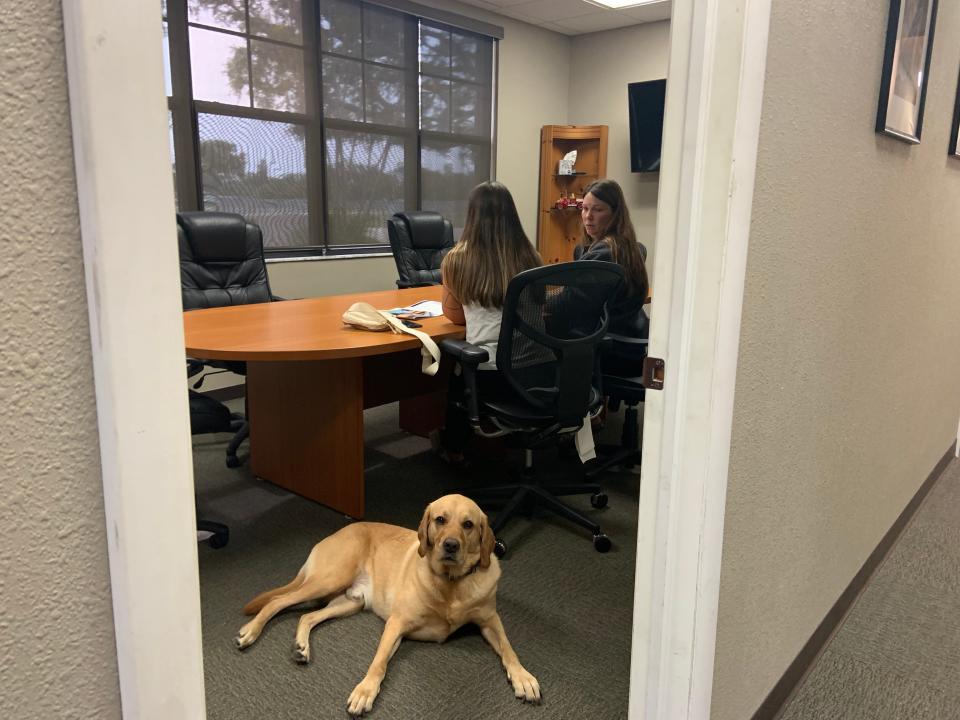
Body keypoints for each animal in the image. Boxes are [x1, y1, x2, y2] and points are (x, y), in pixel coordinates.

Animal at [235, 492, 540, 716]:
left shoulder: (490, 620)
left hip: (349, 602)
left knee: (306, 617)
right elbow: (379, 662)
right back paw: (250, 631)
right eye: (440, 519)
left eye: (468, 524)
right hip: (329, 578)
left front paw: (523, 677)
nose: (451, 545)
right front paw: (364, 691)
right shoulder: (397, 624)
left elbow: (509, 649)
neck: (451, 583)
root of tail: (338, 532)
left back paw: (301, 646)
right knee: (278, 600)